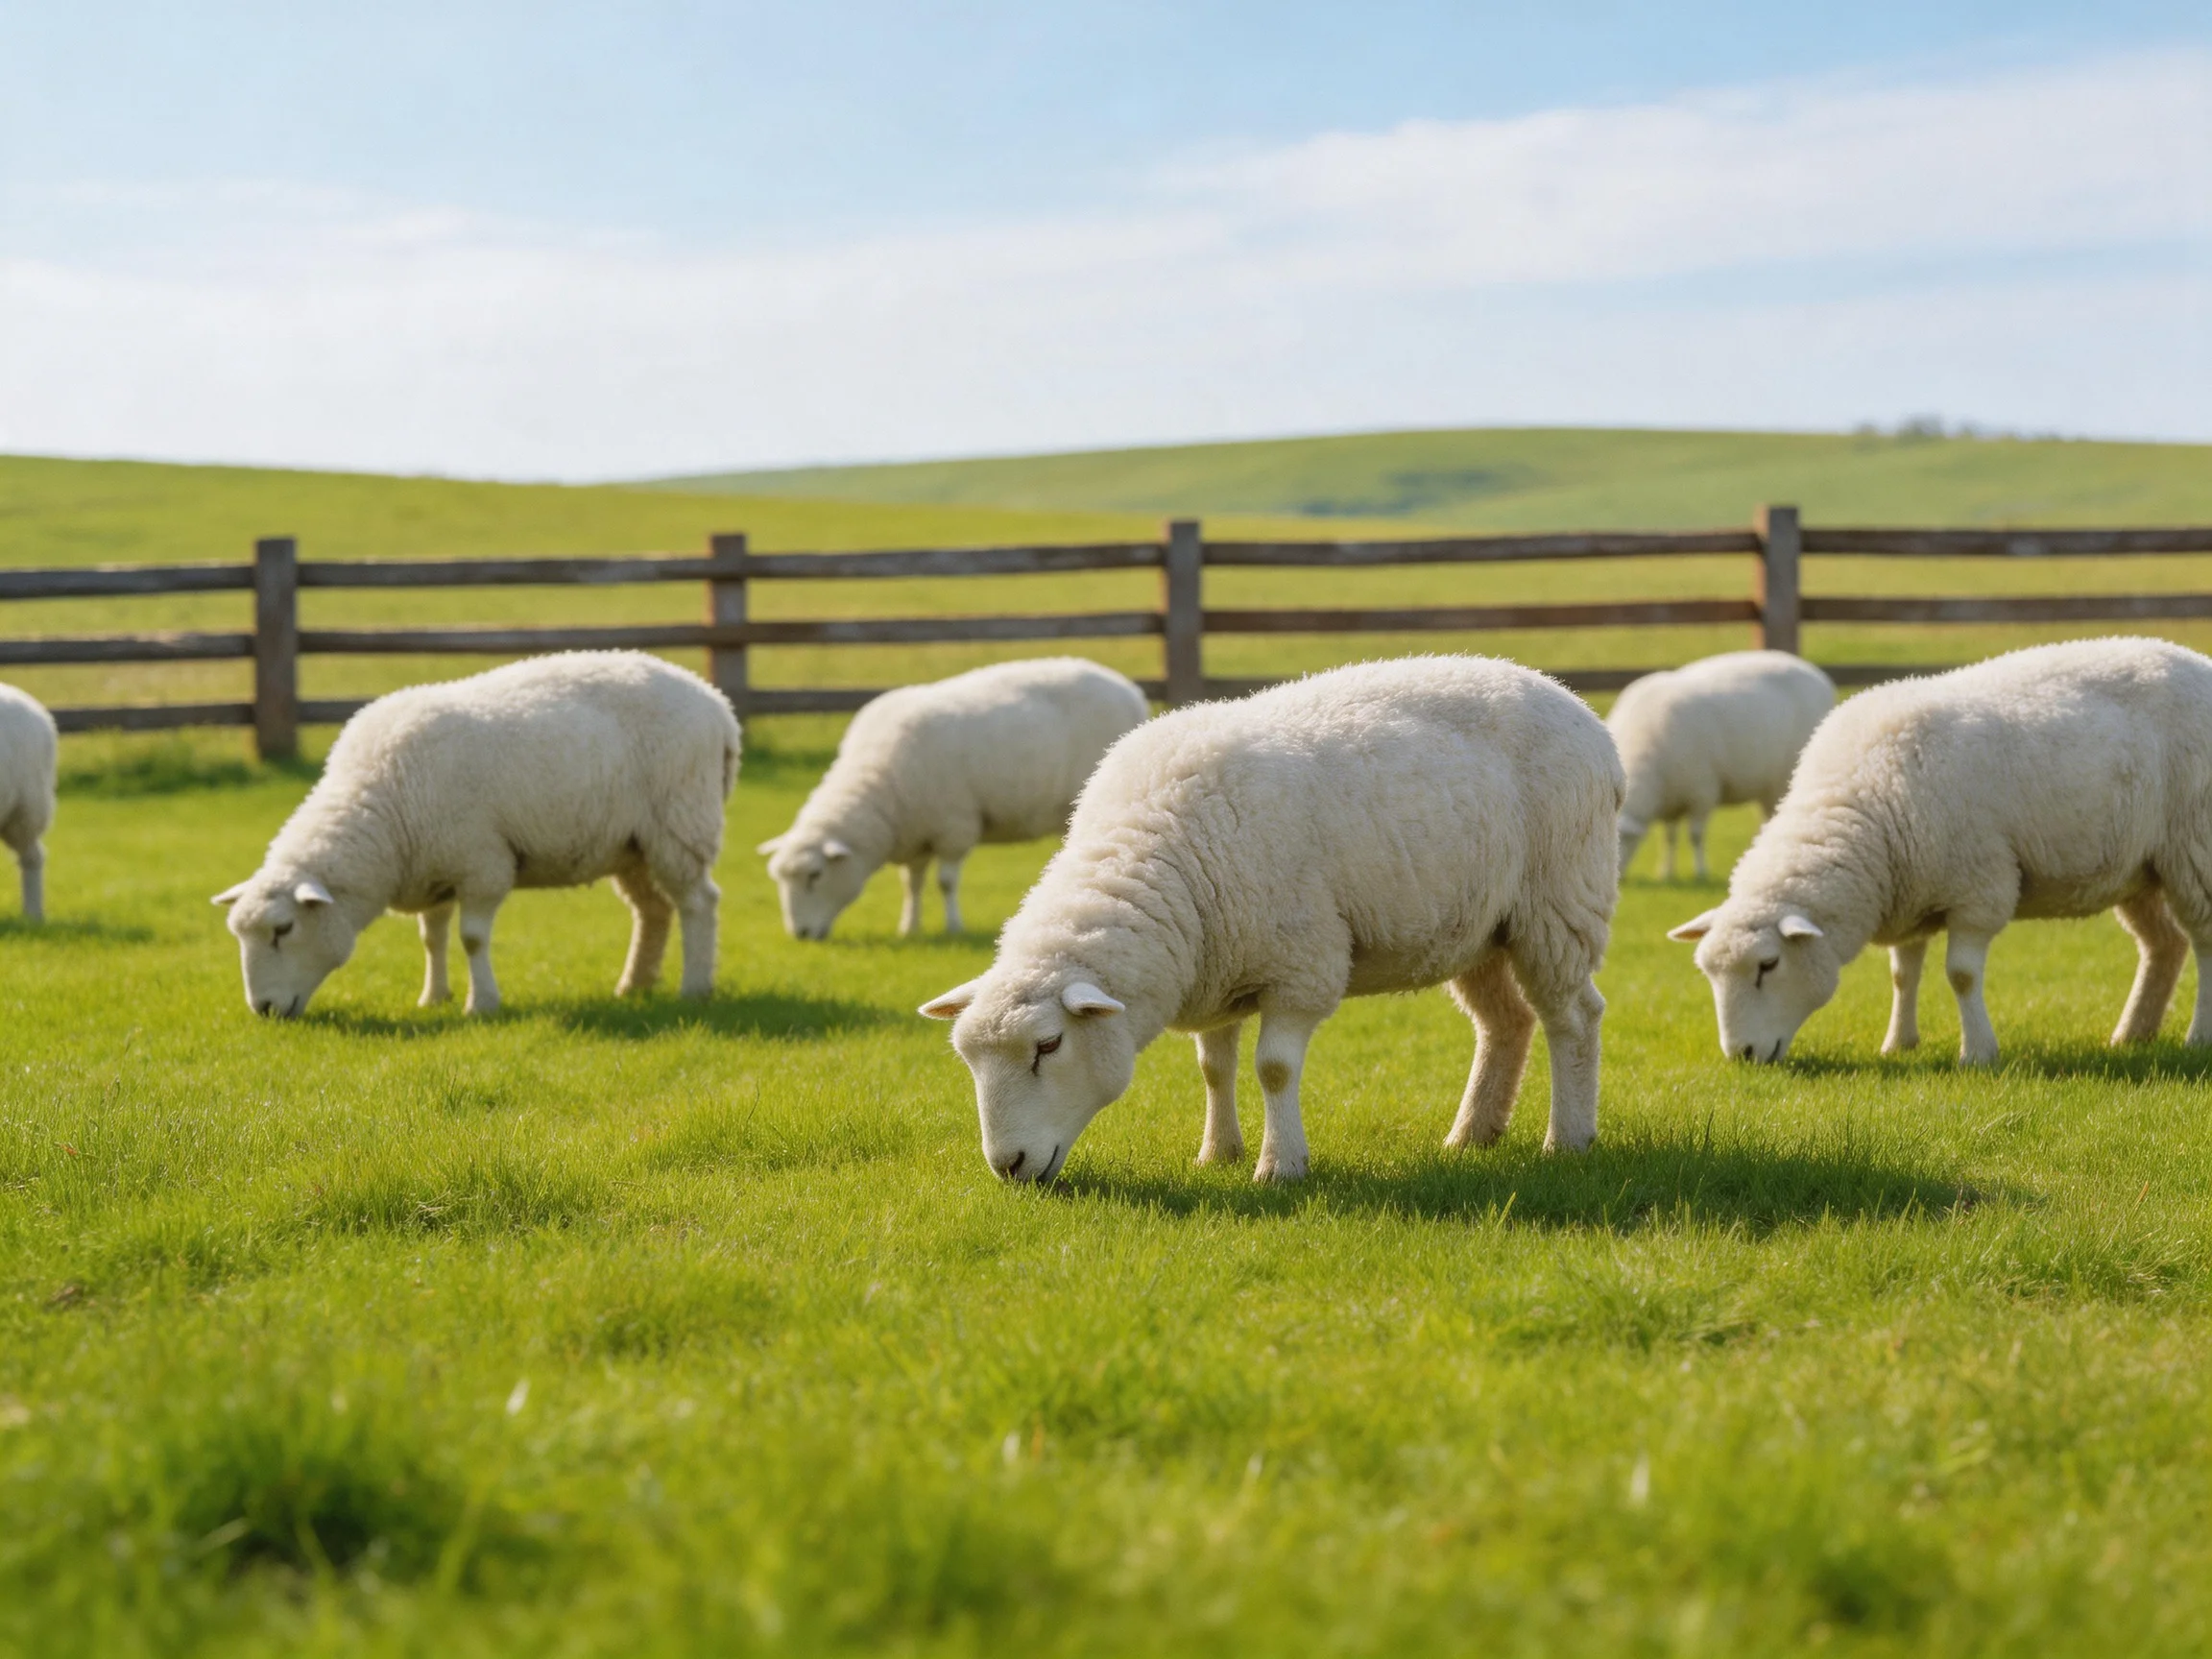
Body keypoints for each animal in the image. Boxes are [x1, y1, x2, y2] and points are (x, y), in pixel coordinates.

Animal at [213, 651, 739, 1018]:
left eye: (283, 930)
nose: (263, 1010)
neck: (382, 807)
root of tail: (717, 703)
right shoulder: (433, 867)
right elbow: (433, 937)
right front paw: (433, 997)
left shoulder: (481, 862)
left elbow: (470, 938)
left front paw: (481, 1003)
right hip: (632, 844)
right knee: (653, 912)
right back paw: (635, 985)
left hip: (680, 824)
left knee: (699, 903)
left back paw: (694, 988)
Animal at [760, 657, 1148, 940]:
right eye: (778, 880)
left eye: (815, 875)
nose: (800, 934)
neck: (881, 788)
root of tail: (1130, 690)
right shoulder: (916, 836)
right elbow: (912, 884)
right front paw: (909, 927)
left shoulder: (953, 826)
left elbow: (945, 882)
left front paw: (953, 927)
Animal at [920, 655, 1622, 1184]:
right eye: (969, 1061)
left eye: (1048, 1046)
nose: (1007, 1165)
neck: (1156, 855)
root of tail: (1582, 713)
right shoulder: (1216, 965)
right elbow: (1214, 1067)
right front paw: (1217, 1153)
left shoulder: (1301, 965)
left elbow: (1274, 1068)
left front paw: (1279, 1166)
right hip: (1480, 929)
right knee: (1506, 1023)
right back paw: (1472, 1134)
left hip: (1559, 902)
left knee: (1572, 1016)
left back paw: (1567, 1138)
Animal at [1608, 651, 1834, 880]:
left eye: (1623, 840)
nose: (1619, 879)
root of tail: (1814, 673)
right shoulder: (1671, 798)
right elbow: (1669, 837)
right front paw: (1667, 872)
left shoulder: (1702, 792)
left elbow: (1696, 835)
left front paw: (1700, 872)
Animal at [1669, 637, 2212, 1067]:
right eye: (1709, 973)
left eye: (1768, 965)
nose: (1741, 1055)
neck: (1867, 808)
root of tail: (2197, 660)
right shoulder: (1910, 889)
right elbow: (1902, 974)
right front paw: (1898, 1043)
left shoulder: (1978, 888)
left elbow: (1962, 975)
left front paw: (1978, 1054)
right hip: (2141, 867)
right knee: (2164, 945)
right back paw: (2132, 1034)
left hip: (2195, 847)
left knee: (2202, 937)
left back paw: (2197, 1038)